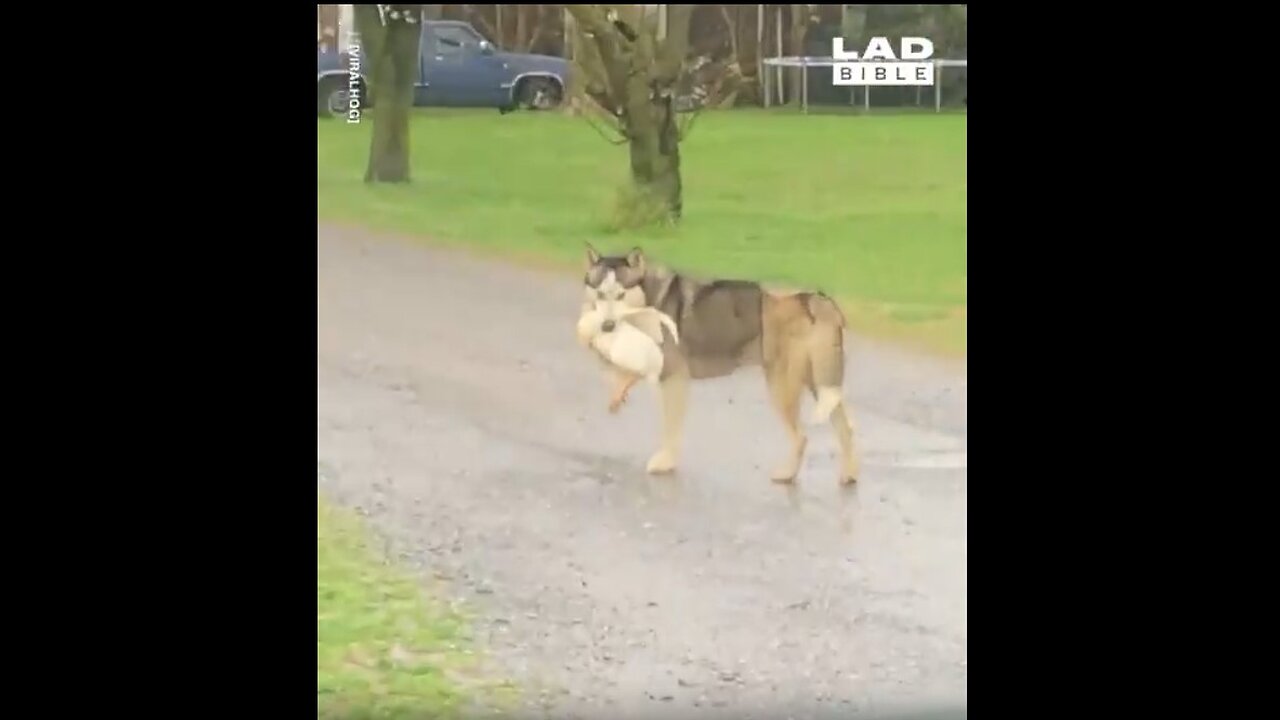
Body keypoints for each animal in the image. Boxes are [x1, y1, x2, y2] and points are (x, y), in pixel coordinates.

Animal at [583, 243, 860, 484]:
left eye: (620, 294)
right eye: (599, 293)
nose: (607, 326)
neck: (649, 298)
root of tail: (816, 297)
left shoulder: (673, 377)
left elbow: (671, 427)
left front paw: (664, 462)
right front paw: (618, 393)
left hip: (783, 384)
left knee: (801, 437)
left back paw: (787, 474)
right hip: (820, 382)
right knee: (845, 428)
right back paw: (849, 475)